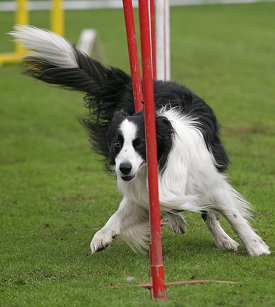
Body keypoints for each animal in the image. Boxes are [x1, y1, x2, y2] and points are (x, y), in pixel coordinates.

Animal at [11, 25, 272, 258]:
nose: (124, 168)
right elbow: (122, 212)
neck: (162, 160)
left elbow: (232, 215)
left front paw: (256, 247)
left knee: (208, 212)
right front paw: (102, 236)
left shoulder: (209, 181)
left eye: (140, 144)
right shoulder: (141, 188)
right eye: (117, 144)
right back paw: (178, 220)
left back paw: (222, 238)